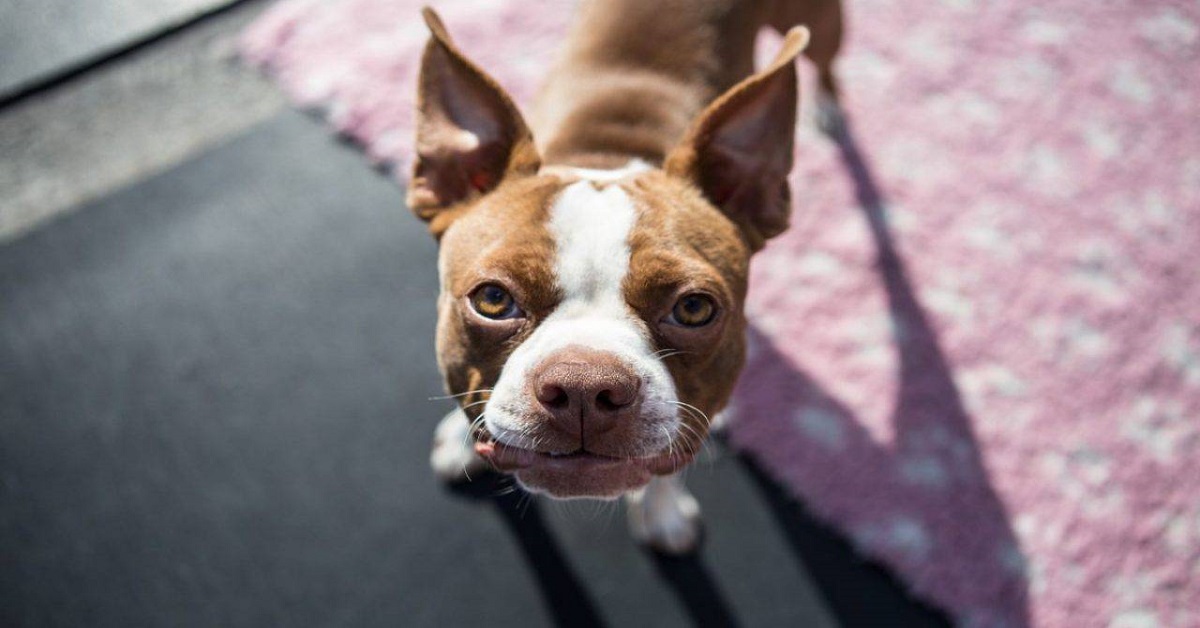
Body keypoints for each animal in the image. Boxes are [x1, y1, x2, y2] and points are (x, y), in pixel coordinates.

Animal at [412, 0, 844, 549]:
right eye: (492, 299)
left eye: (694, 308)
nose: (583, 386)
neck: (609, 157)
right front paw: (461, 437)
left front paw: (663, 512)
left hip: (823, 24)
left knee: (826, 63)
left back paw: (829, 106)